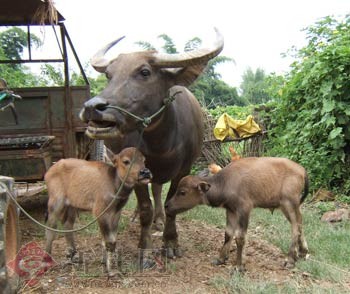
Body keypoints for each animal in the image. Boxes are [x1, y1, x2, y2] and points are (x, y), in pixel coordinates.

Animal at [79, 29, 224, 258]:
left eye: (145, 72)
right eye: (109, 75)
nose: (92, 107)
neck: (162, 145)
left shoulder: (183, 170)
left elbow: (170, 202)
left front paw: (171, 242)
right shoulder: (136, 168)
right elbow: (145, 207)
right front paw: (144, 247)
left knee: (157, 190)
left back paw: (160, 220)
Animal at [167, 157, 308, 270]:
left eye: (182, 192)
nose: (167, 205)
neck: (225, 183)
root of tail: (302, 170)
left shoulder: (244, 209)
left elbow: (240, 237)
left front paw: (239, 266)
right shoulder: (230, 210)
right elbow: (228, 234)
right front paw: (221, 258)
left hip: (289, 203)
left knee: (295, 228)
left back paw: (290, 260)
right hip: (288, 206)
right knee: (300, 223)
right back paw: (302, 252)